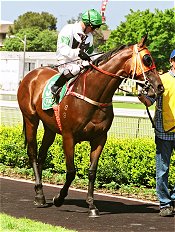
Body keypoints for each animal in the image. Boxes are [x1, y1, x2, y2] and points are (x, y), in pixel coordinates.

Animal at [17, 35, 163, 217]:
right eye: (147, 59)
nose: (159, 87)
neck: (93, 95)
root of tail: (32, 74)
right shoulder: (68, 137)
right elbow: (71, 172)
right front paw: (59, 198)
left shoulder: (100, 138)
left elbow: (92, 171)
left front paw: (92, 205)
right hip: (30, 119)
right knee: (32, 153)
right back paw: (39, 196)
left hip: (50, 128)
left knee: (41, 156)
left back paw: (40, 192)